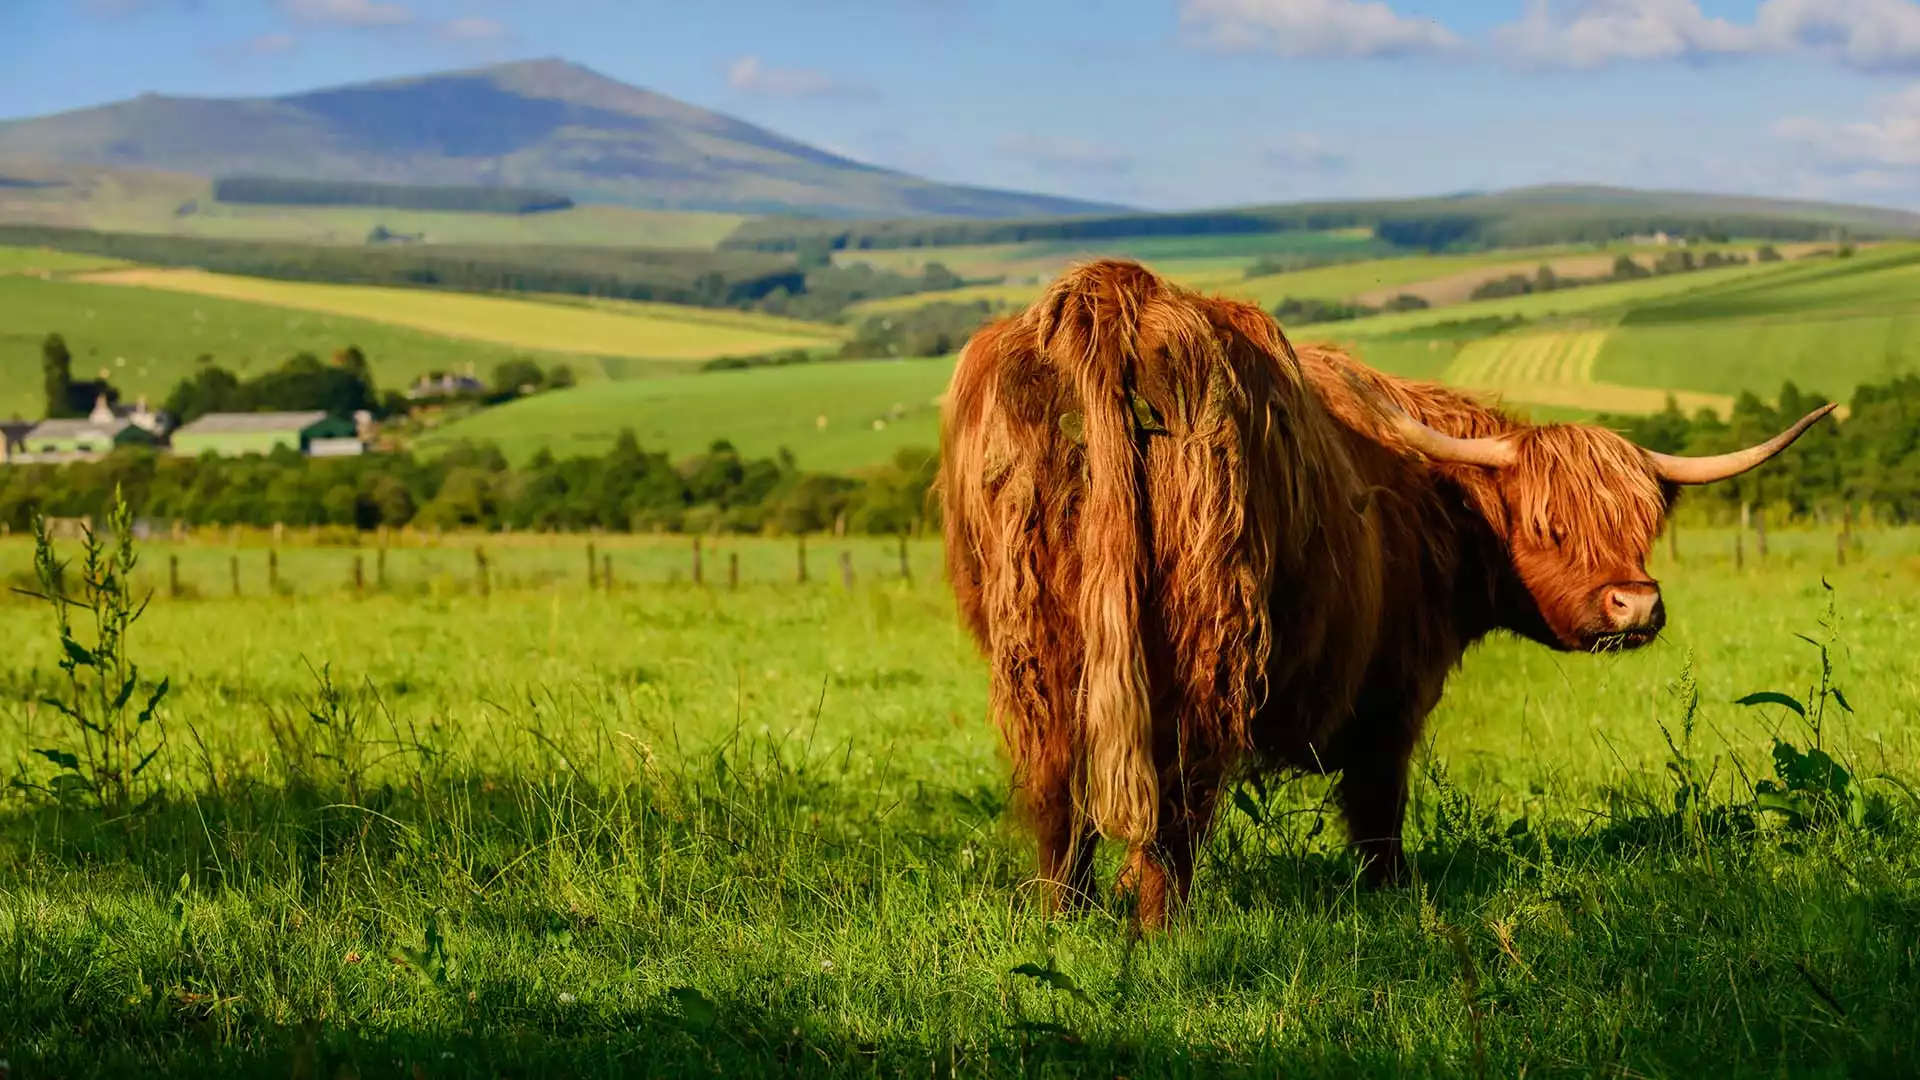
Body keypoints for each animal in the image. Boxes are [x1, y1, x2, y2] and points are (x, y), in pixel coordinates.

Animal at [936, 255, 1835, 922]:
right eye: (1548, 526)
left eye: (1644, 525)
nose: (1637, 604)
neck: (1438, 502)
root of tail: (1118, 297)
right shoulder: (1392, 698)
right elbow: (1378, 814)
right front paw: (1393, 901)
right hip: (1202, 645)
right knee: (1173, 800)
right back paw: (1166, 932)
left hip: (1039, 654)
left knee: (1060, 798)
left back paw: (1067, 919)